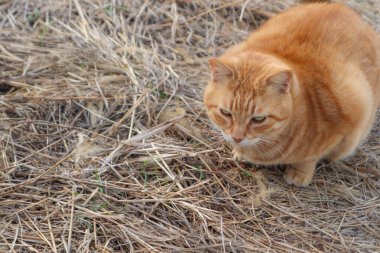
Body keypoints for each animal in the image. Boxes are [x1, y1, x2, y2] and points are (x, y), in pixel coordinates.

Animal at [205, 2, 380, 187]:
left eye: (258, 119)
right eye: (225, 113)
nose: (237, 138)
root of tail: (341, 6)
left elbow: (311, 157)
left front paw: (300, 172)